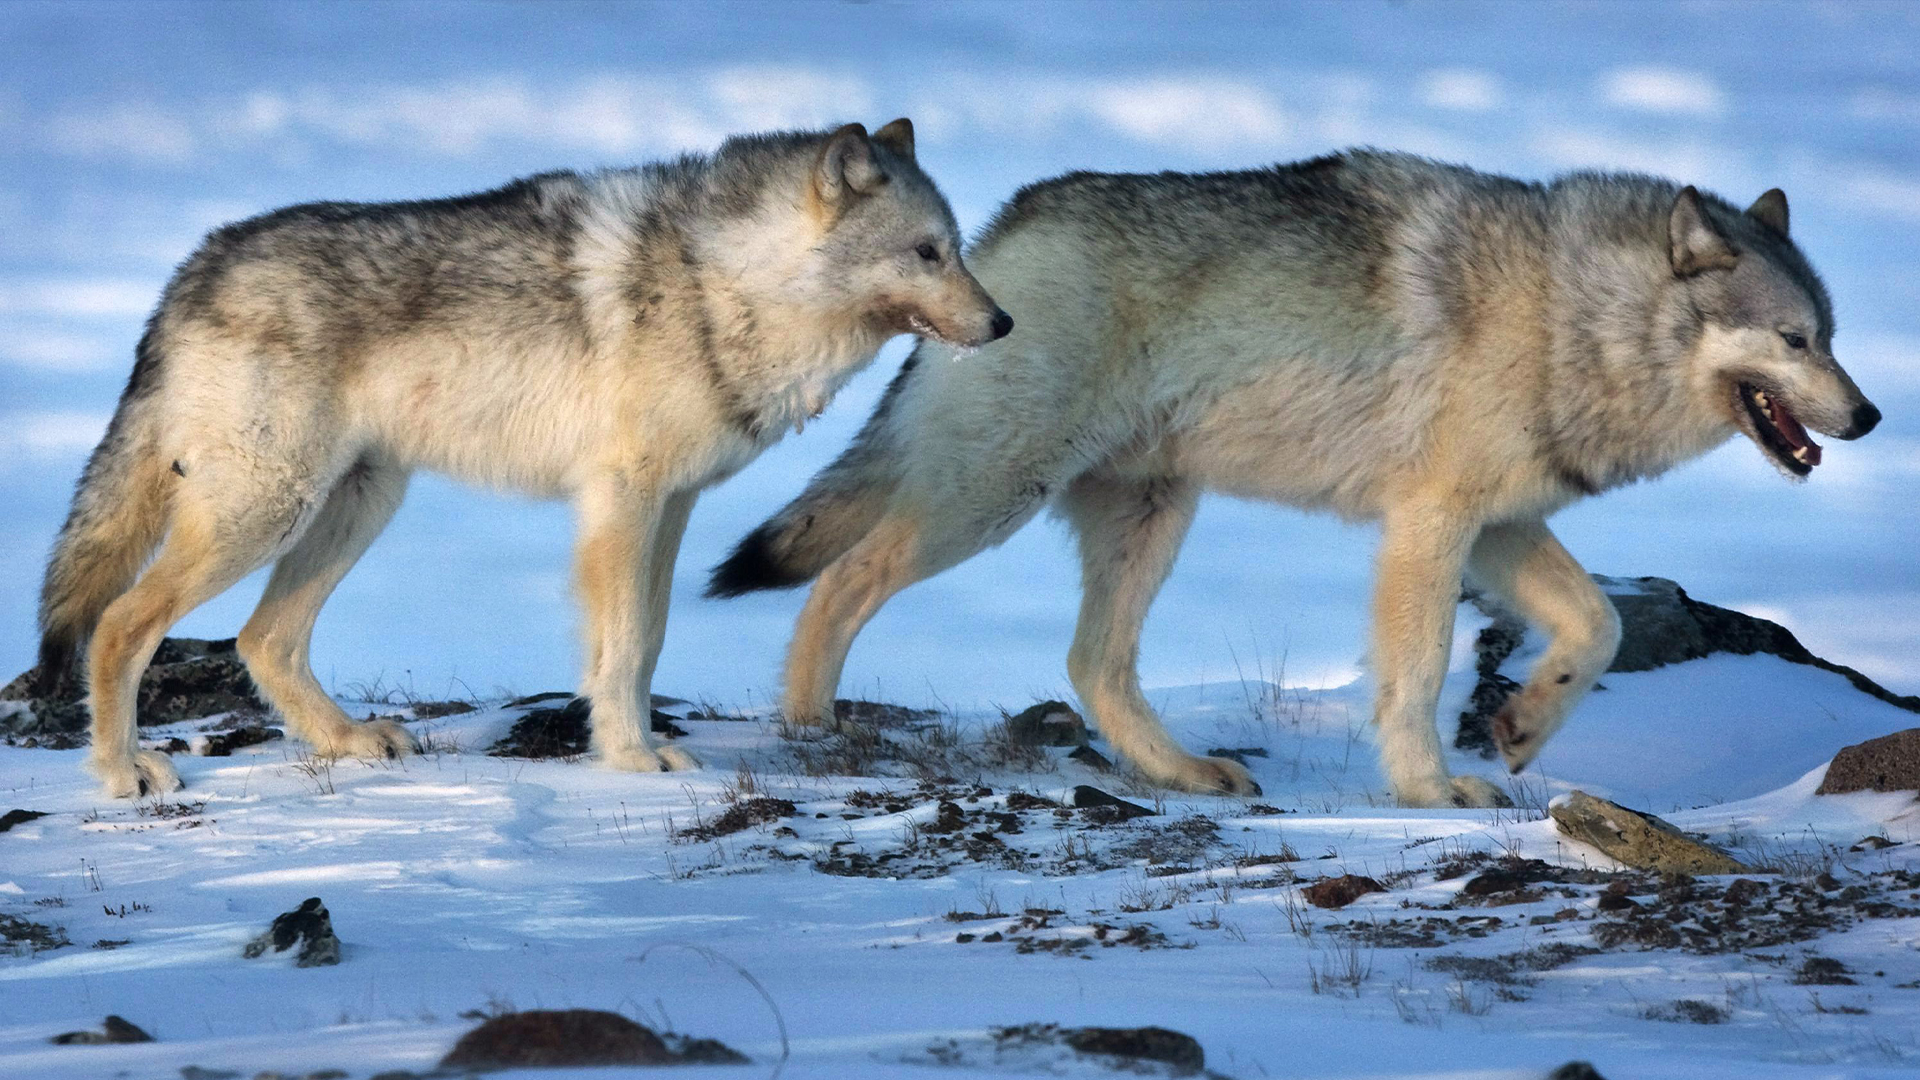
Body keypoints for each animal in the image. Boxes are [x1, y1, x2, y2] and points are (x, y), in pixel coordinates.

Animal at [37, 117, 1013, 795]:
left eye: (956, 250)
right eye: (926, 252)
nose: (1004, 323)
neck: (723, 283)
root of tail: (191, 268)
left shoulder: (673, 505)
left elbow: (650, 639)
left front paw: (630, 747)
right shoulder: (624, 501)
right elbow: (624, 645)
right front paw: (632, 759)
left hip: (357, 506)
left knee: (262, 638)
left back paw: (351, 741)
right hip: (270, 512)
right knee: (122, 624)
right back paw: (124, 774)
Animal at [714, 148, 1881, 807]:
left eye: (1832, 337)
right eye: (1795, 340)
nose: (1869, 416)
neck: (1569, 319)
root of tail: (990, 236)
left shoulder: (1500, 527)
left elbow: (1597, 627)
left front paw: (1524, 727)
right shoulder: (1430, 526)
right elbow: (1416, 677)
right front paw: (1430, 791)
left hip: (1152, 517)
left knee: (1093, 663)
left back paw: (1183, 775)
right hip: (990, 500)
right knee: (842, 581)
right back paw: (811, 727)